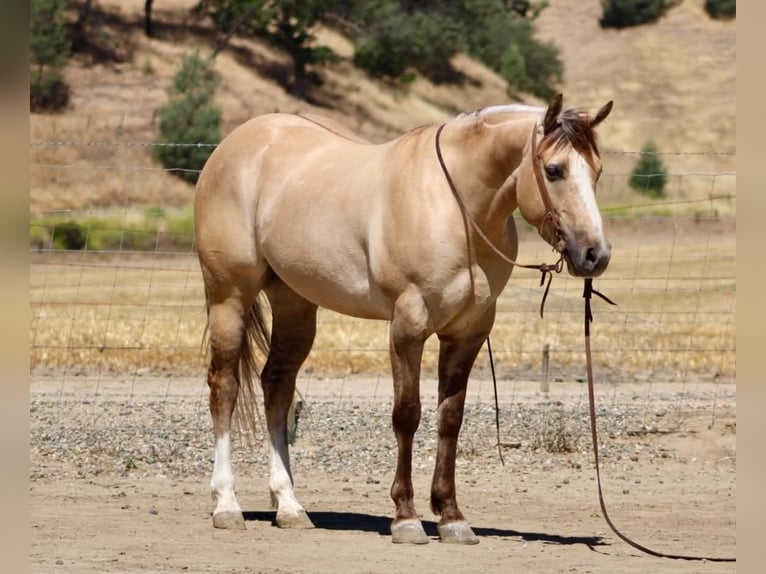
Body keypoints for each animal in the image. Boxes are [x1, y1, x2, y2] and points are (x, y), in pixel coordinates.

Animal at [193, 93, 613, 545]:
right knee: (225, 387)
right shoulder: (408, 324)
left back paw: (289, 505)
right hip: (229, 296)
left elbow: (450, 418)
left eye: (597, 170)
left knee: (277, 385)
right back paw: (227, 504)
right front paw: (406, 517)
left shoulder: (468, 332)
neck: (456, 206)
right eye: (554, 170)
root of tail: (234, 145)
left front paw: (451, 517)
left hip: (294, 303)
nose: (595, 255)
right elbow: (407, 414)